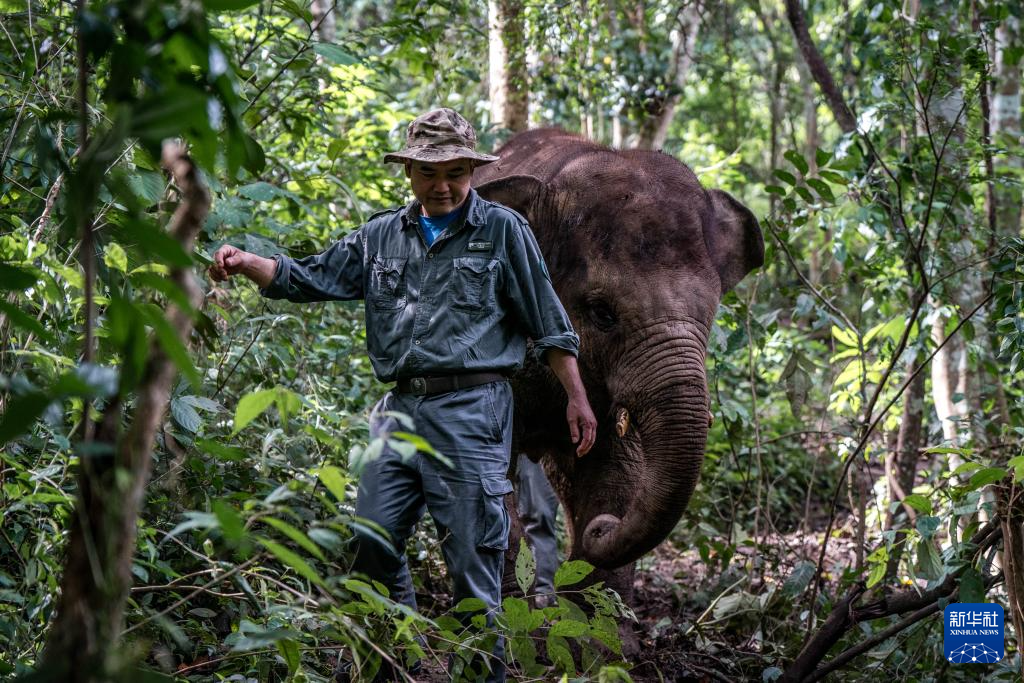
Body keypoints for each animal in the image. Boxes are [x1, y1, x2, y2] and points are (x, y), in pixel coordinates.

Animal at [471, 127, 761, 602]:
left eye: (711, 313)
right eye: (602, 312)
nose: (600, 530)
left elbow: (615, 476)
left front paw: (594, 617)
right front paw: (509, 615)